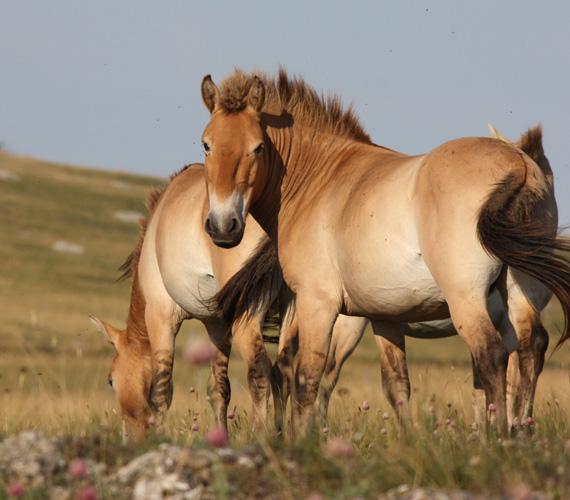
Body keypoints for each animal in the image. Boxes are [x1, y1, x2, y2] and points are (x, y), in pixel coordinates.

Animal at [197, 68, 564, 436]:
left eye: (258, 147)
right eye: (206, 144)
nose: (223, 226)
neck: (320, 180)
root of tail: (517, 164)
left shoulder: (317, 303)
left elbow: (306, 380)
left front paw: (301, 440)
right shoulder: (385, 316)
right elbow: (396, 386)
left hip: (466, 298)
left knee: (492, 355)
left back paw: (498, 437)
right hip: (518, 293)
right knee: (530, 347)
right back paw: (521, 431)